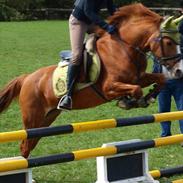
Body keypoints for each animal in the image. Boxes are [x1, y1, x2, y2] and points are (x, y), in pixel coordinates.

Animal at [0, 3, 180, 157]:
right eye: (169, 42)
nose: (178, 71)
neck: (124, 48)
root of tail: (27, 78)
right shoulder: (109, 88)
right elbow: (135, 89)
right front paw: (127, 102)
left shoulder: (139, 77)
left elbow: (160, 79)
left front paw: (148, 97)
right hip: (32, 118)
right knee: (25, 145)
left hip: (46, 118)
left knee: (30, 143)